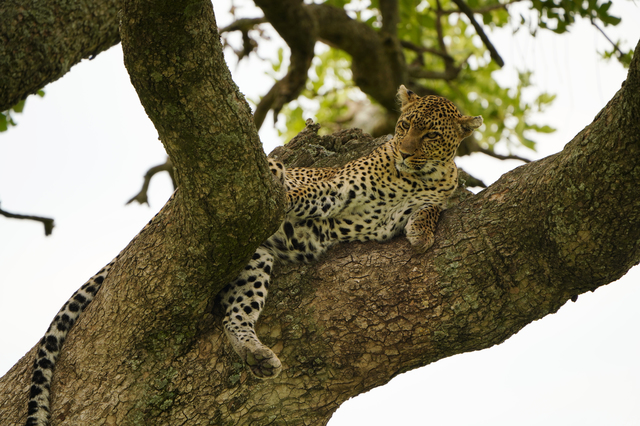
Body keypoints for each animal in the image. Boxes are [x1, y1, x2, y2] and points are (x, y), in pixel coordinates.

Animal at [25, 85, 482, 424]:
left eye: (431, 136)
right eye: (404, 125)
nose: (404, 151)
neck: (415, 177)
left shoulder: (416, 202)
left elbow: (431, 209)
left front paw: (422, 233)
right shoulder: (333, 184)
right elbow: (299, 191)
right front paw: (284, 195)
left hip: (253, 261)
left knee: (235, 315)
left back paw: (255, 354)